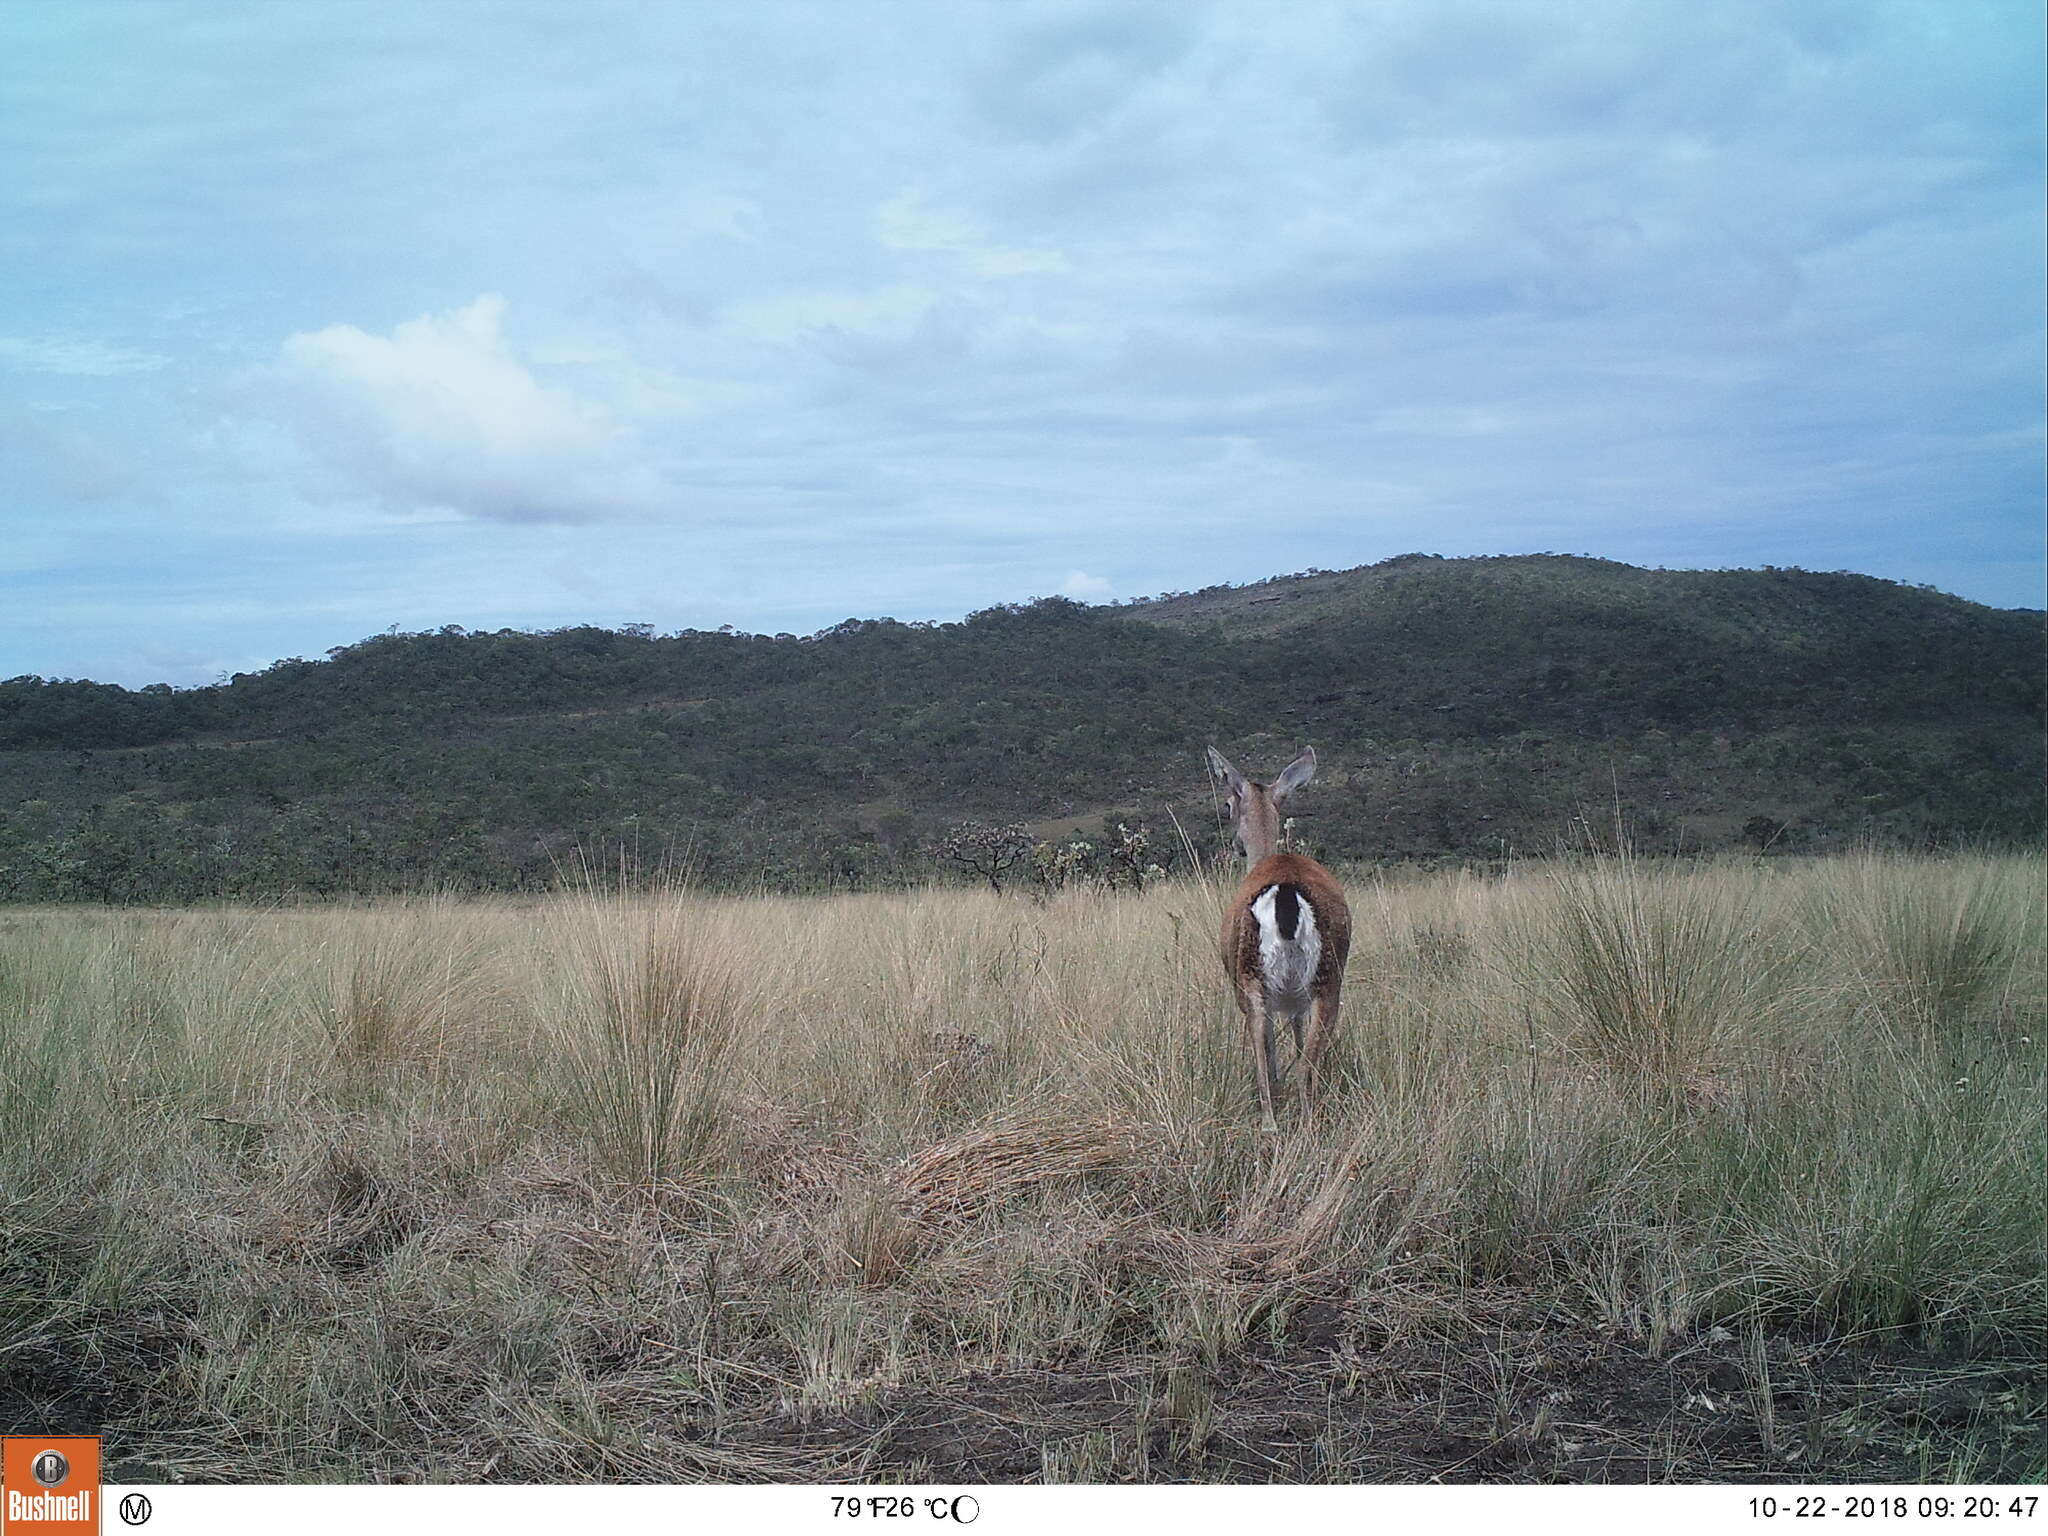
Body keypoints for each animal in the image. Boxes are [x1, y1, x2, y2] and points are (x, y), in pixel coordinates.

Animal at [1204, 745, 1351, 1130]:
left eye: (1228, 805)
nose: (1236, 846)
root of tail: (1285, 893)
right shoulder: (1295, 1001)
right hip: (1325, 983)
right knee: (1306, 1061)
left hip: (1252, 981)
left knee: (1265, 1055)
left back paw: (1273, 1122)